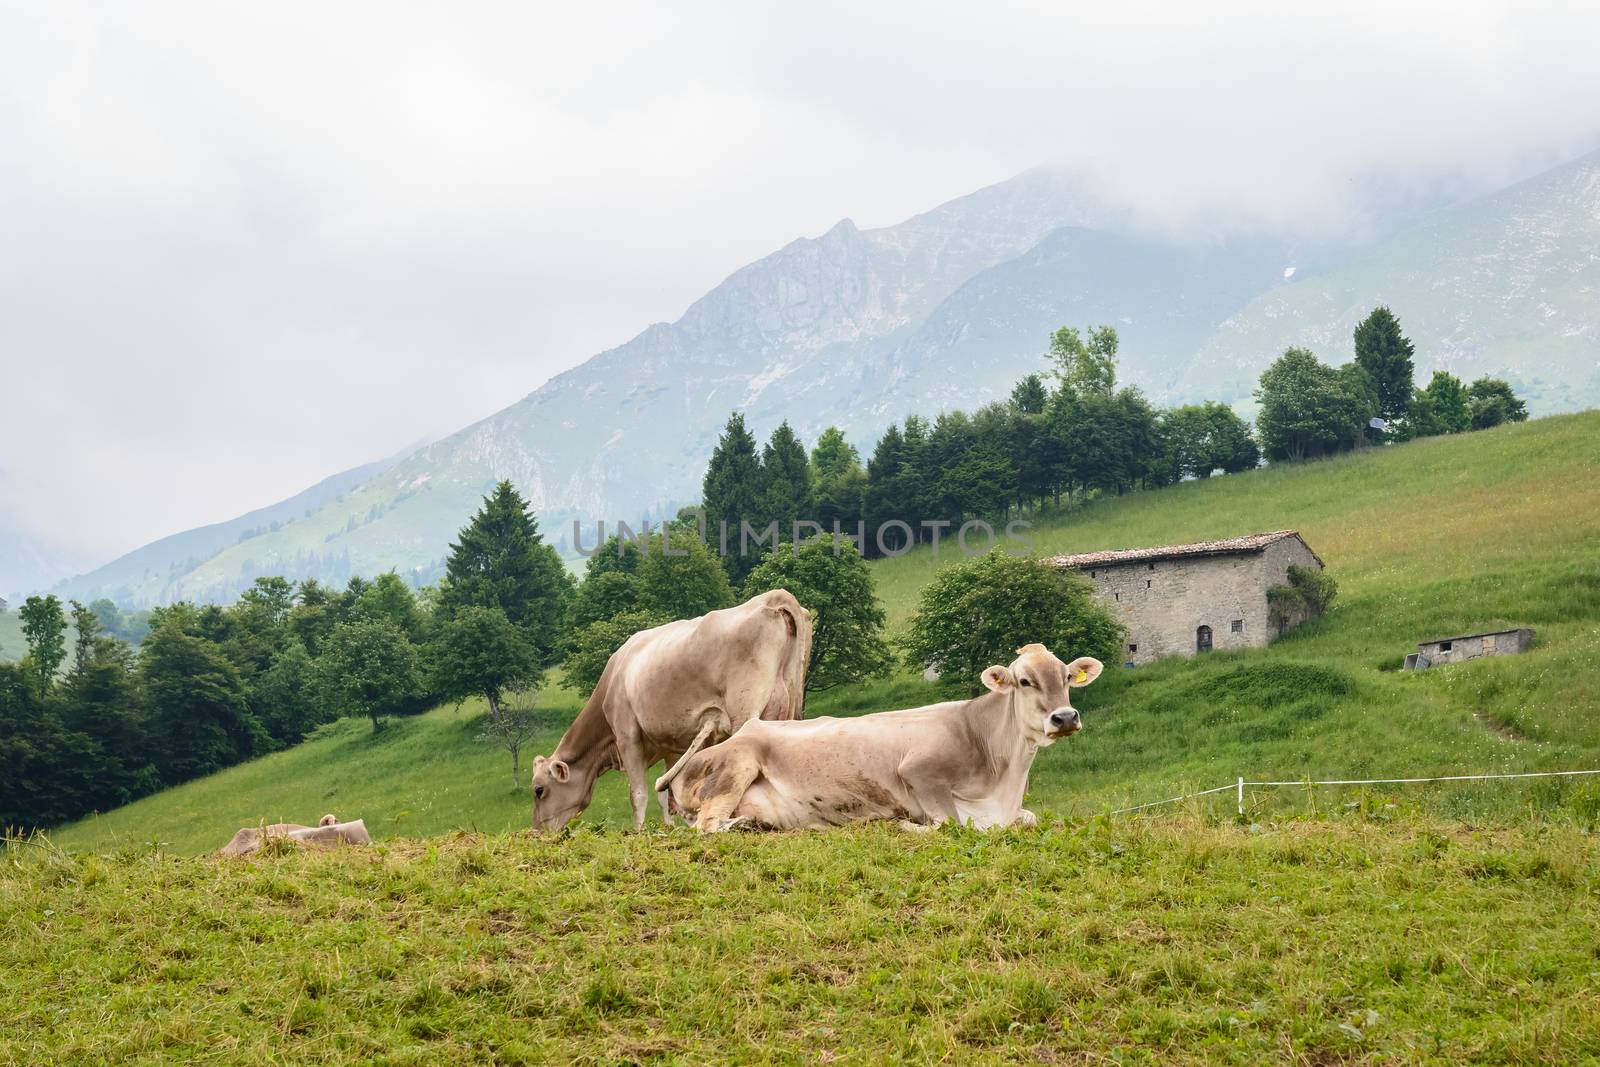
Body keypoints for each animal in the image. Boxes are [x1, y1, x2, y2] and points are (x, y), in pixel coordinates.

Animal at [531, 591, 812, 831]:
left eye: (539, 790)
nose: (536, 833)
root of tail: (772, 597)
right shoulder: (673, 743)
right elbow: (665, 794)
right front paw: (667, 828)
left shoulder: (627, 735)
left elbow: (638, 794)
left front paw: (639, 832)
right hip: (784, 706)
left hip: (746, 710)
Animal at [662, 643, 1100, 831]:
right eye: (1025, 681)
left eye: (1066, 677)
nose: (1065, 717)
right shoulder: (919, 770)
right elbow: (953, 825)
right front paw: (906, 826)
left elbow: (1029, 818)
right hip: (736, 765)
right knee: (708, 825)